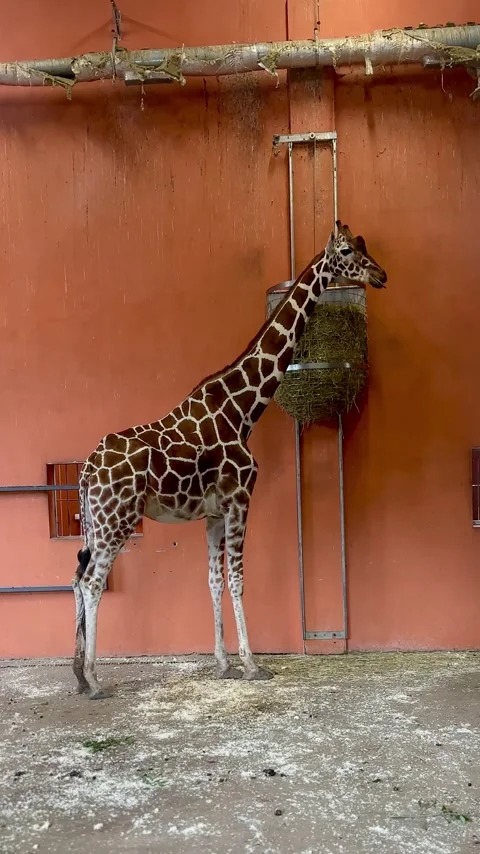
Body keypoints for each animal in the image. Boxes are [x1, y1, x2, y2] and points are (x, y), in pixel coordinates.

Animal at [72, 221, 387, 699]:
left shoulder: (214, 513)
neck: (241, 410)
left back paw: (79, 674)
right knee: (92, 582)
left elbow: (214, 580)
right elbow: (238, 577)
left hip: (96, 522)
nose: (381, 275)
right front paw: (252, 664)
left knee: (77, 578)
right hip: (117, 519)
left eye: (364, 246)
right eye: (348, 251)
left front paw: (222, 662)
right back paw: (93, 679)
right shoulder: (240, 500)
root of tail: (87, 471)